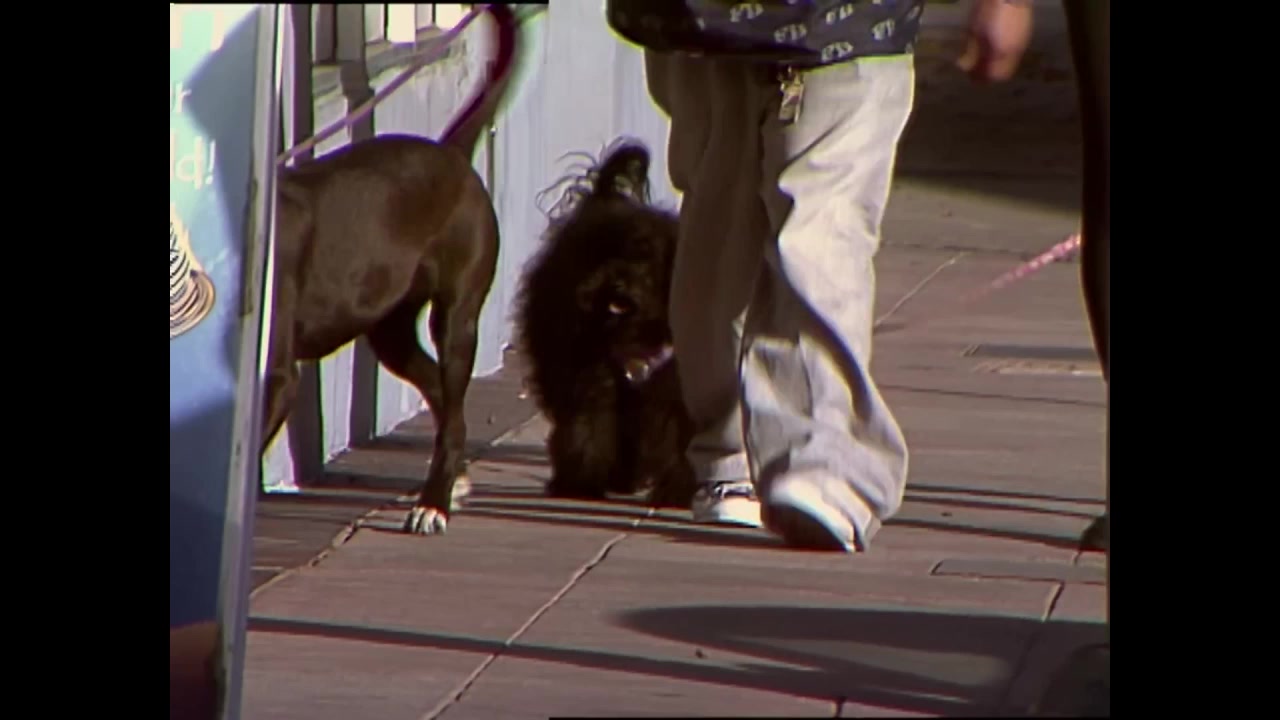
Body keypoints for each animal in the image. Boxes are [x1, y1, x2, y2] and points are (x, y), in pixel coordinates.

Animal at [261, 5, 520, 536]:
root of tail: (451, 154)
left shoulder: (274, 376)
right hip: (391, 330)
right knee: (442, 396)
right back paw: (452, 482)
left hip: (456, 315)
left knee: (453, 403)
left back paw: (434, 502)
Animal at [514, 141, 697, 508]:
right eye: (612, 254)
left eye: (646, 259)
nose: (614, 283)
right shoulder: (594, 376)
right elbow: (589, 426)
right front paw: (581, 481)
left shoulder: (670, 389)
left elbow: (674, 437)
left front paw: (676, 490)